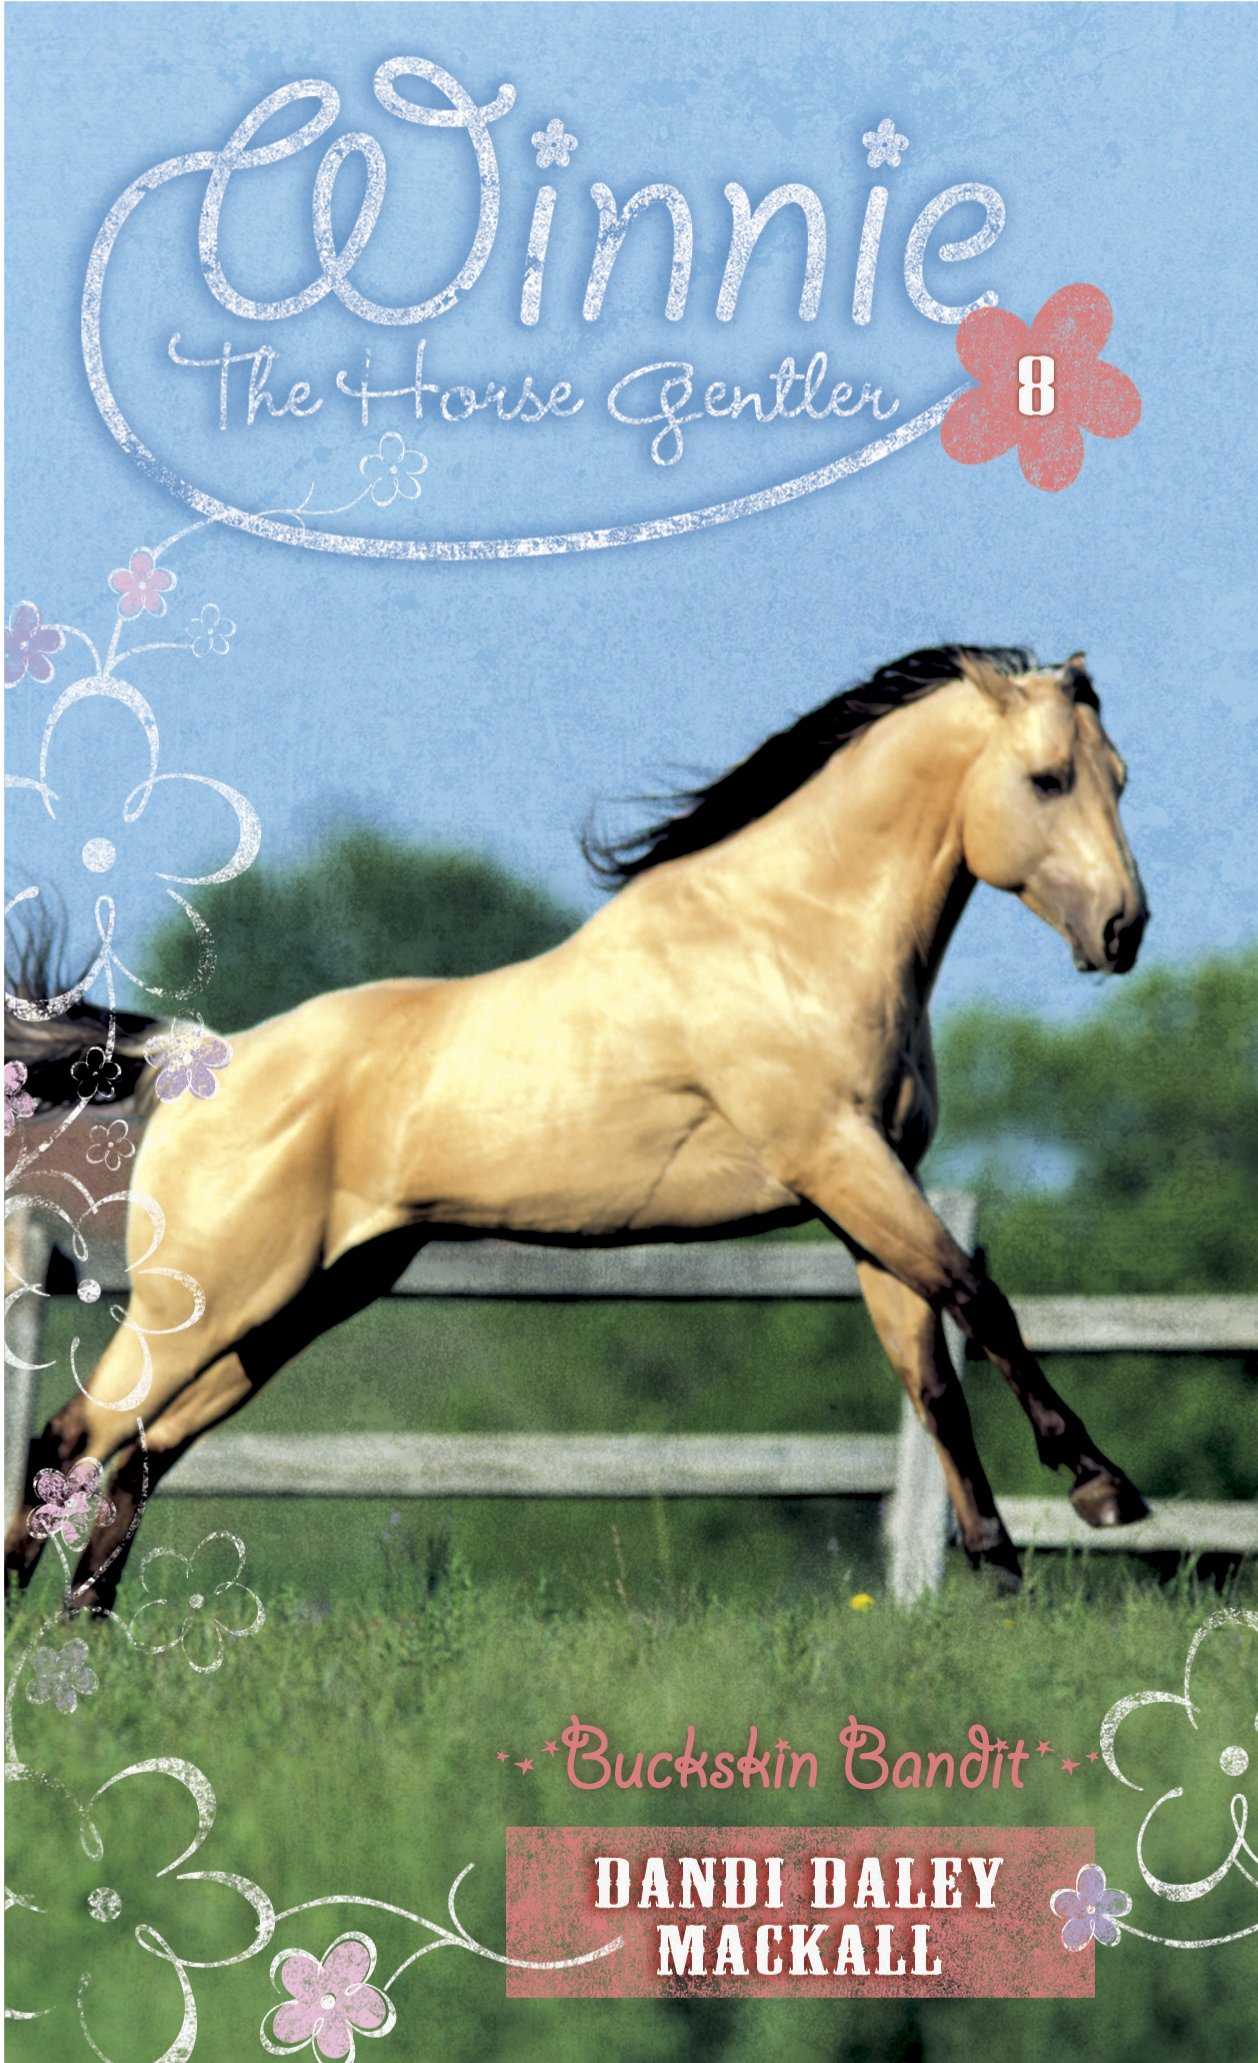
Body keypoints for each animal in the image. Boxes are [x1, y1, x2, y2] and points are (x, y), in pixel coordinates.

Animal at [4, 644, 1151, 1608]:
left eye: (1120, 776)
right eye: (1048, 778)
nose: (1122, 929)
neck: (788, 939)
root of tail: (197, 1057)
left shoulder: (867, 1197)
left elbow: (932, 1376)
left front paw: (1001, 1570)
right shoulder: (839, 1161)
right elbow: (981, 1299)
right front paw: (1103, 1490)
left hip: (300, 1301)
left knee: (144, 1446)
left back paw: (85, 1627)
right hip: (211, 1299)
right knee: (76, 1433)